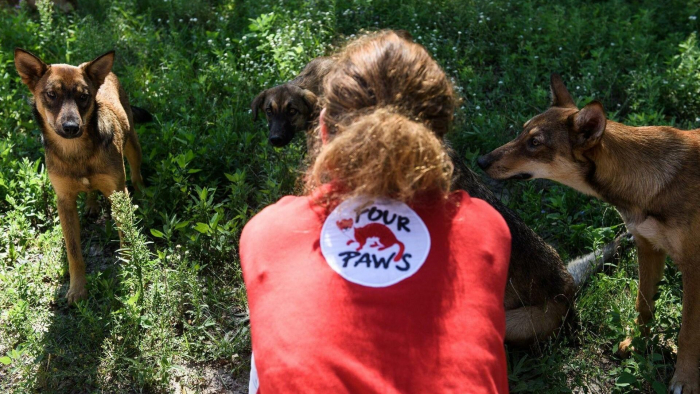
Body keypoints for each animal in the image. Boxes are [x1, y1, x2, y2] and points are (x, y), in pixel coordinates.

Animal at [15, 48, 147, 302]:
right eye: (51, 94)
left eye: (84, 96)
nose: (71, 127)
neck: (76, 151)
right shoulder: (64, 201)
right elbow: (74, 252)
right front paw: (77, 288)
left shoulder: (118, 190)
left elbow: (125, 232)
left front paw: (128, 265)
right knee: (89, 190)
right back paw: (91, 204)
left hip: (133, 145)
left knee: (137, 175)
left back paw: (145, 196)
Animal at [478, 73, 700, 390]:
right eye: (522, 133)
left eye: (535, 143)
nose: (481, 161)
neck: (652, 181)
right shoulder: (648, 247)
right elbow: (643, 305)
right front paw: (637, 344)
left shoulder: (693, 268)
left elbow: (687, 333)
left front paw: (685, 380)